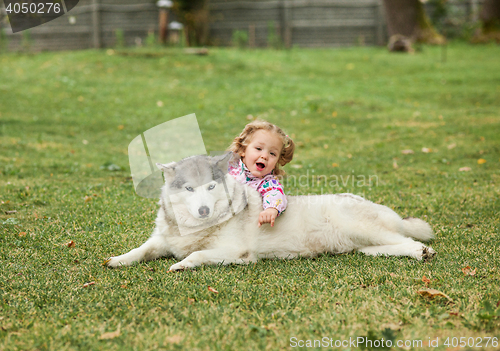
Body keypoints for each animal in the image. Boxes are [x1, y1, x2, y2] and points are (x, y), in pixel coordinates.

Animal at [107, 153, 436, 270]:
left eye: (211, 187)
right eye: (189, 189)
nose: (202, 209)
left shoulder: (237, 253)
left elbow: (197, 254)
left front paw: (181, 264)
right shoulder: (161, 241)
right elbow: (141, 250)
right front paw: (118, 260)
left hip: (361, 227)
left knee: (408, 241)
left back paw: (422, 252)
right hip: (364, 245)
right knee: (388, 247)